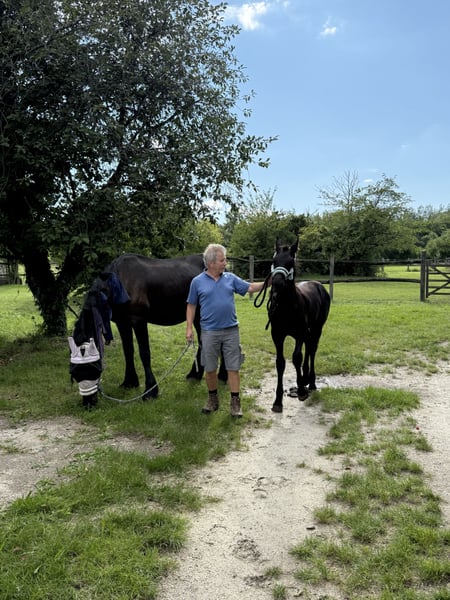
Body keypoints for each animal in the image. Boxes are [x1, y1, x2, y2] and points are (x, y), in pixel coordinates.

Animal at [71, 253, 226, 404]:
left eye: (87, 368)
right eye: (74, 372)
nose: (88, 403)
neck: (119, 282)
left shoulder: (138, 320)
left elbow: (144, 353)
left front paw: (150, 391)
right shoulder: (122, 323)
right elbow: (128, 351)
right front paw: (129, 382)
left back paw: (222, 376)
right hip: (197, 316)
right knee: (202, 341)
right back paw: (195, 374)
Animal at [264, 239, 330, 413]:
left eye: (290, 262)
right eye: (274, 261)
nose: (277, 284)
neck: (287, 306)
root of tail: (319, 285)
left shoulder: (299, 333)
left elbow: (296, 357)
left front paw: (300, 391)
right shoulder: (277, 335)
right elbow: (280, 363)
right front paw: (278, 401)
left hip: (317, 329)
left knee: (312, 350)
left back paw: (311, 382)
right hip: (308, 332)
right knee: (309, 348)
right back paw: (306, 378)